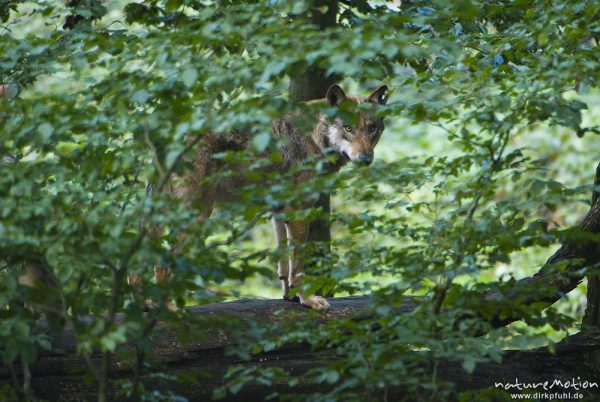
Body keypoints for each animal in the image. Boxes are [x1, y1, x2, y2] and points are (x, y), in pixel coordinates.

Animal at [145, 84, 390, 310]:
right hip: (196, 215)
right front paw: (308, 300)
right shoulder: (300, 210)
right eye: (348, 128)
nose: (365, 158)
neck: (314, 137)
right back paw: (167, 308)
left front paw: (290, 297)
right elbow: (298, 265)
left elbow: (283, 263)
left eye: (372, 129)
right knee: (162, 262)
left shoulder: (279, 211)